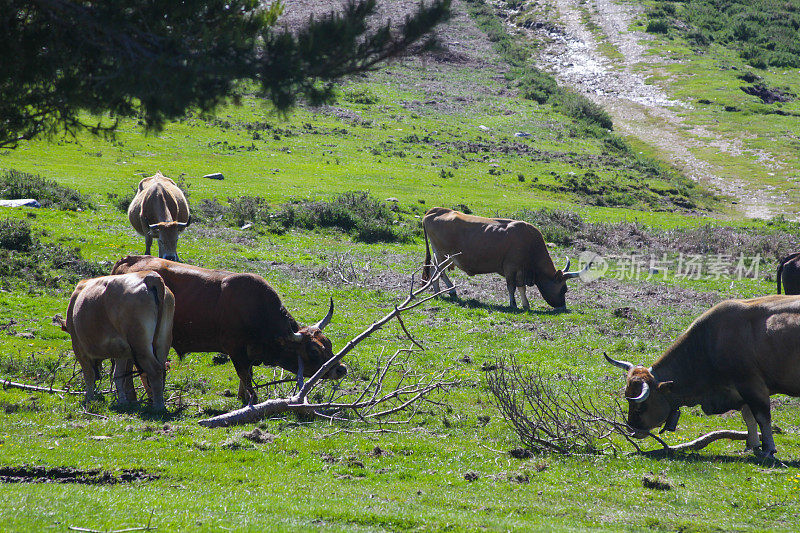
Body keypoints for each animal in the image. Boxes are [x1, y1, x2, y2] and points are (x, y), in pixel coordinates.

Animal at [55, 268, 175, 410]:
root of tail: (149, 277)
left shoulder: (78, 347)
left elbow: (88, 374)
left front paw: (89, 398)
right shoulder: (121, 352)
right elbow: (118, 376)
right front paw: (122, 401)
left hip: (140, 345)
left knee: (155, 370)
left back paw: (158, 406)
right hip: (163, 341)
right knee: (162, 370)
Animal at [111, 255, 346, 404]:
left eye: (328, 344)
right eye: (313, 351)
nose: (341, 369)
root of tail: (130, 260)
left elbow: (247, 375)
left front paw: (243, 396)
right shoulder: (235, 350)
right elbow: (245, 375)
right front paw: (251, 399)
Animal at [422, 207, 592, 308]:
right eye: (564, 289)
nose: (562, 307)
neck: (530, 242)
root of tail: (435, 211)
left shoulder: (521, 271)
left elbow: (522, 287)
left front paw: (525, 304)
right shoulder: (511, 267)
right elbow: (512, 286)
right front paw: (513, 303)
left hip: (441, 255)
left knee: (437, 271)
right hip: (443, 255)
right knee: (436, 271)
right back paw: (440, 291)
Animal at [604, 294, 800, 456]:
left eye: (640, 406)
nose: (632, 429)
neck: (710, 341)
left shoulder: (752, 386)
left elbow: (762, 418)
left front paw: (768, 449)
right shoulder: (742, 391)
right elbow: (748, 416)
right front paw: (752, 445)